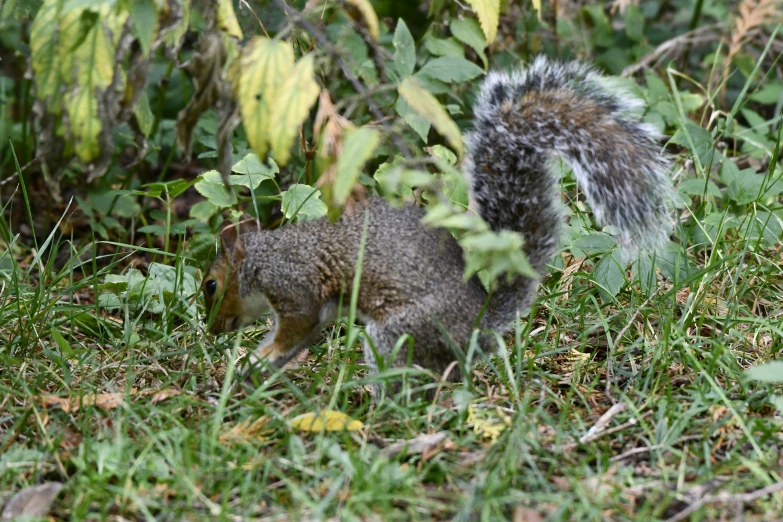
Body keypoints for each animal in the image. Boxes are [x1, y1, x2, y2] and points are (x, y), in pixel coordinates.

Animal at [202, 55, 672, 390]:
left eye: (210, 285)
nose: (211, 331)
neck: (262, 257)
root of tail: (481, 323)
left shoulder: (293, 284)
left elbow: (296, 324)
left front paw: (258, 358)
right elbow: (301, 335)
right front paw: (254, 365)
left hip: (400, 332)